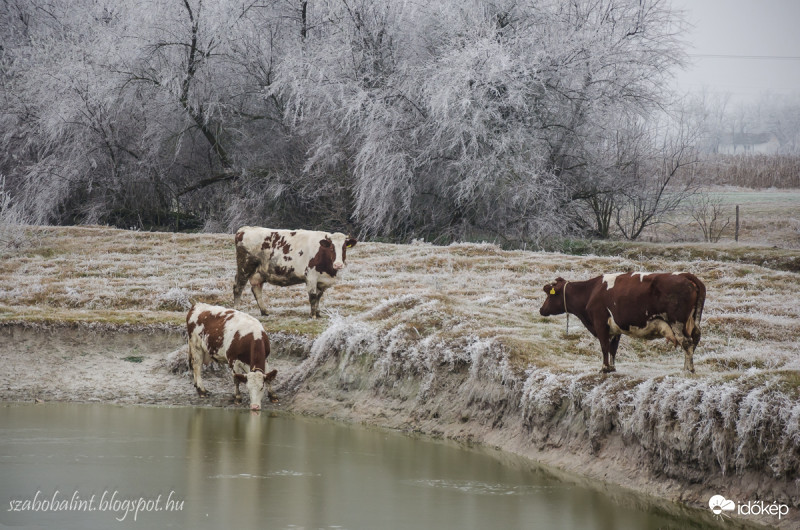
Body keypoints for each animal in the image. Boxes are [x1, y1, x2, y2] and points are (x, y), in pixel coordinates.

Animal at [540, 272, 704, 372]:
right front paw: (612, 368)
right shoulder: (615, 328)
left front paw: (604, 368)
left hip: (677, 323)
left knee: (687, 342)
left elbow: (604, 347)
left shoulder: (600, 323)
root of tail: (683, 275)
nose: (541, 309)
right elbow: (613, 348)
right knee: (694, 339)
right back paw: (687, 367)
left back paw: (688, 369)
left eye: (549, 294)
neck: (591, 291)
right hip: (693, 322)